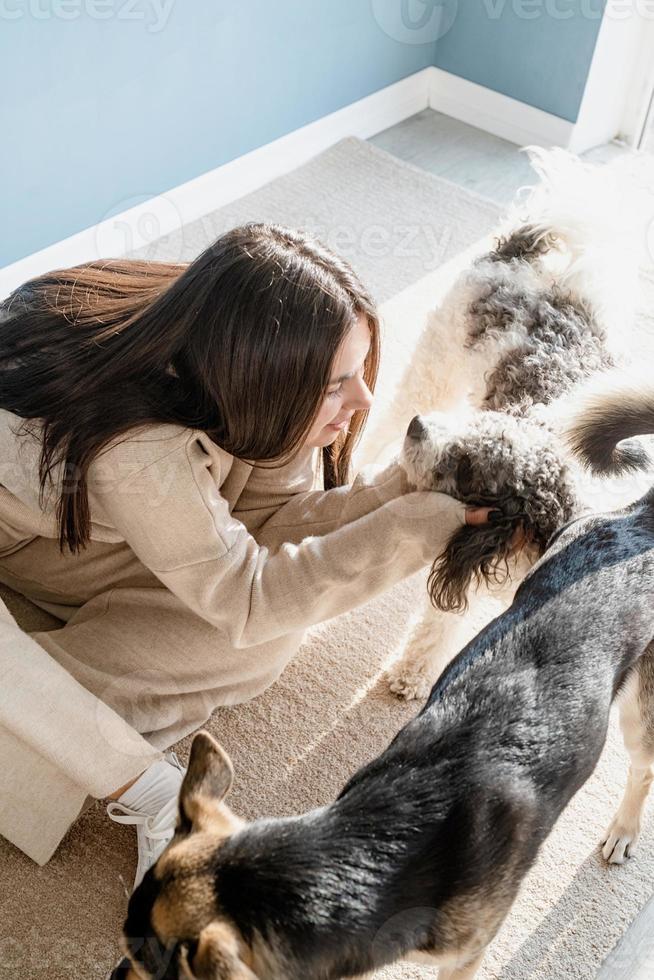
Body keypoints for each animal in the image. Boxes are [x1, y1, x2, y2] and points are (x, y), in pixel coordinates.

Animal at [113, 378, 654, 980]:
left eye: (468, 466)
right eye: (477, 429)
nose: (418, 423)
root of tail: (637, 519)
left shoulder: (466, 953)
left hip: (641, 708)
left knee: (642, 769)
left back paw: (623, 833)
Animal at [384, 145, 652, 700]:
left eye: (469, 467)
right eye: (477, 432)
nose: (421, 428)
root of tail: (522, 252)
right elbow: (436, 626)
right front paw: (410, 675)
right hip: (430, 371)